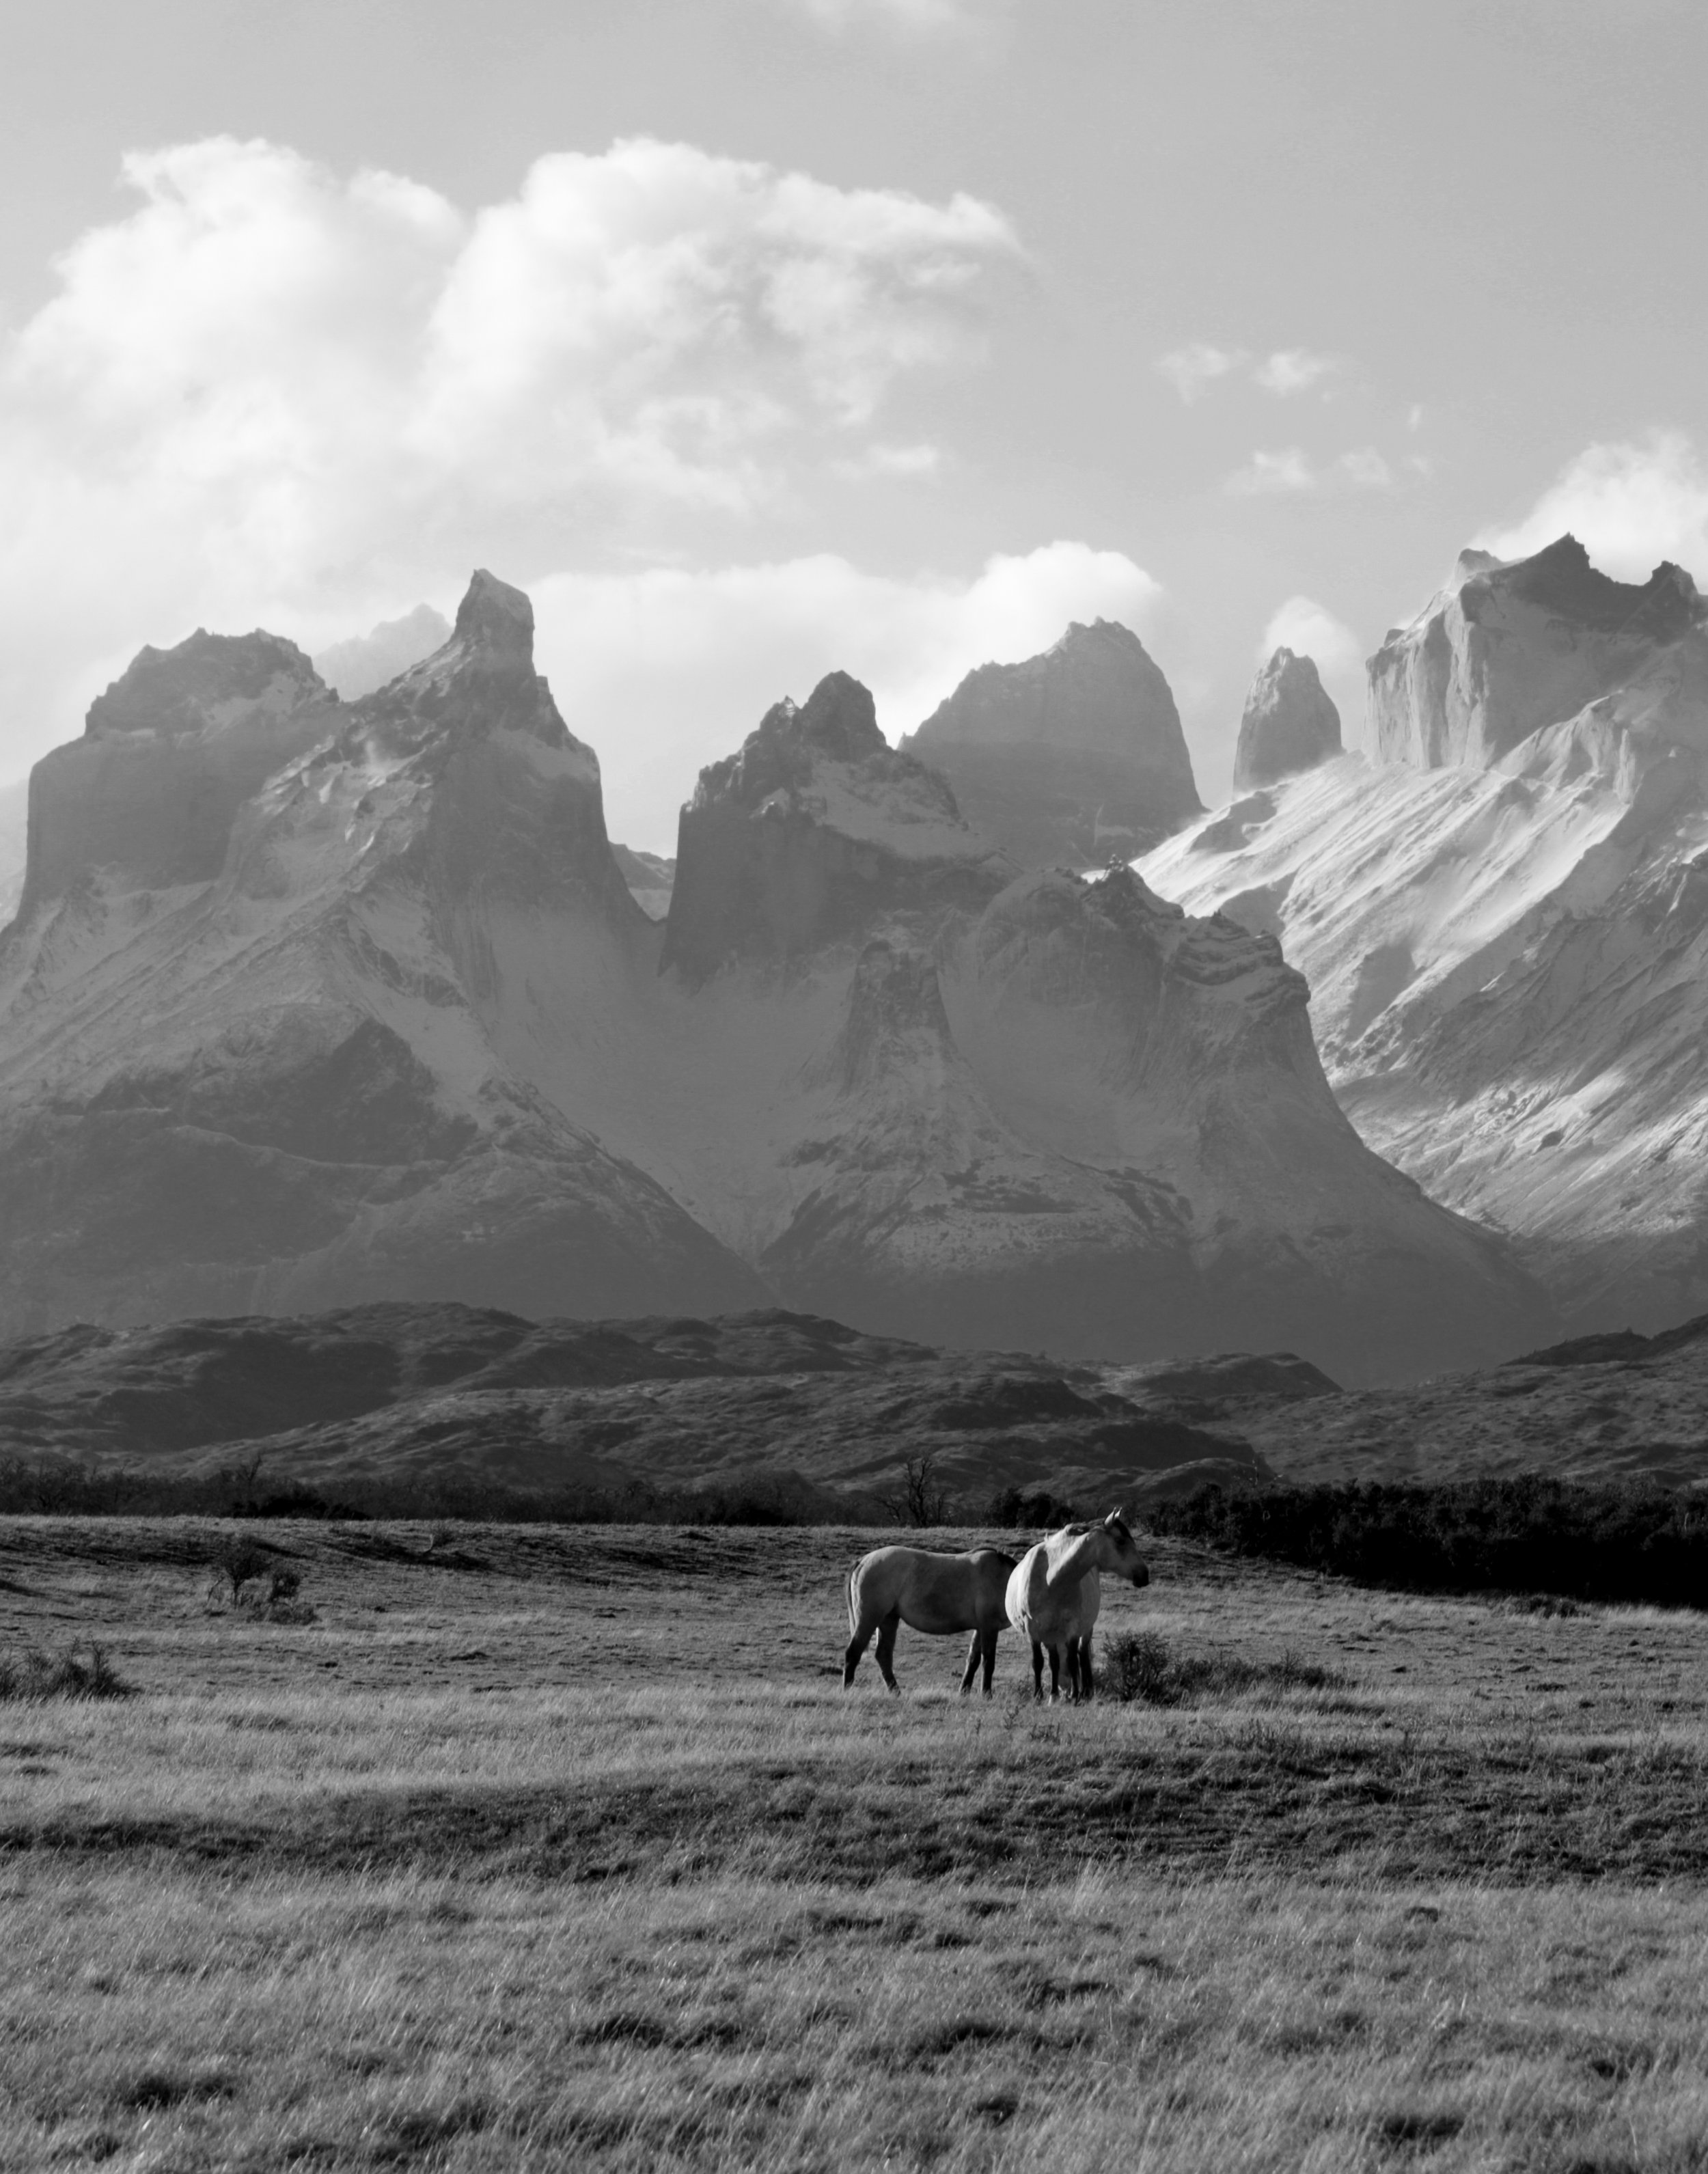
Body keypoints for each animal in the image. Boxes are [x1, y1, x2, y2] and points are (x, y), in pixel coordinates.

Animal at [844, 1545, 1020, 1696]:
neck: (1003, 1580)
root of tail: (863, 1560)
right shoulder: (990, 1627)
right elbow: (988, 1662)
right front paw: (987, 1694)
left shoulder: (981, 1628)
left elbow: (973, 1661)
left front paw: (964, 1691)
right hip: (869, 1619)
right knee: (853, 1653)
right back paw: (847, 1690)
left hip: (889, 1620)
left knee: (883, 1655)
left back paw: (896, 1692)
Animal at [1005, 1511, 1149, 1702]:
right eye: (1120, 1541)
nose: (1145, 1575)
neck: (1051, 1579)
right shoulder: (1032, 1629)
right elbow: (1039, 1662)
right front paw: (1039, 1695)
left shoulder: (1072, 1628)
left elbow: (1073, 1662)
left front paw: (1075, 1695)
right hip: (1051, 1634)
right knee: (1055, 1661)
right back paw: (1054, 1694)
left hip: (1084, 1630)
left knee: (1081, 1656)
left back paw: (1084, 1691)